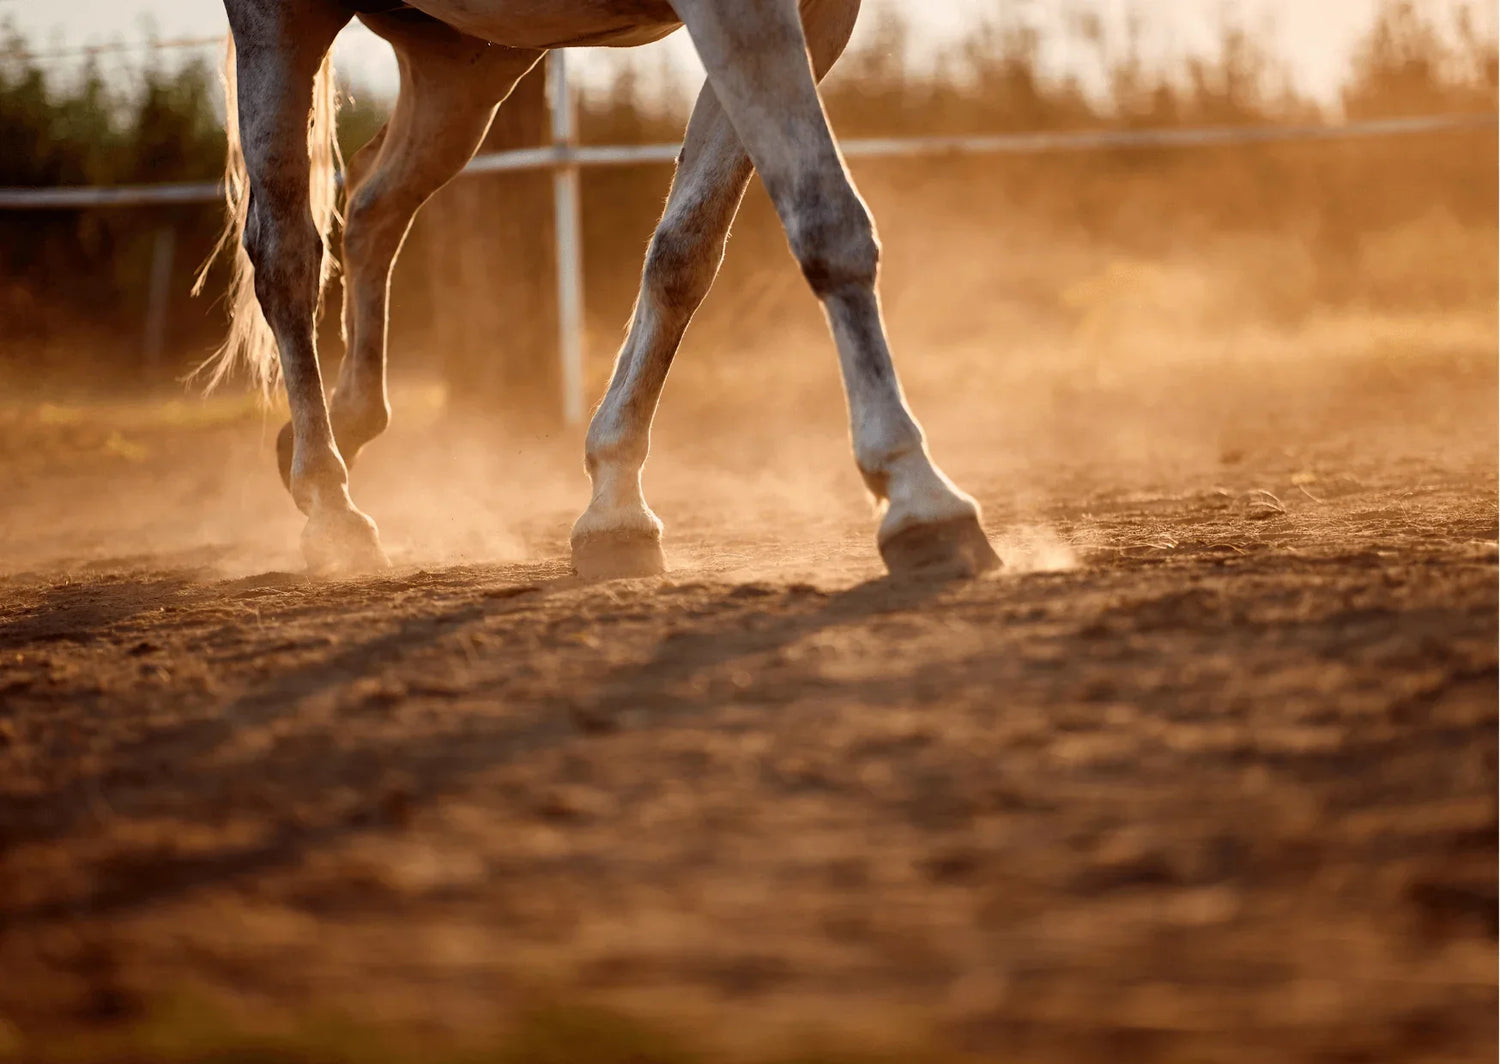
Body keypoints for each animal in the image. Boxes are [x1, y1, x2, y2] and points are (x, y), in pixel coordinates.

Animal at [202, 0, 1001, 580]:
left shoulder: (816, 14)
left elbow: (685, 252)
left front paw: (616, 505)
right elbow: (828, 221)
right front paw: (920, 496)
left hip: (464, 63)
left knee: (372, 206)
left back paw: (341, 428)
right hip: (285, 23)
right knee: (286, 253)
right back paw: (330, 505)